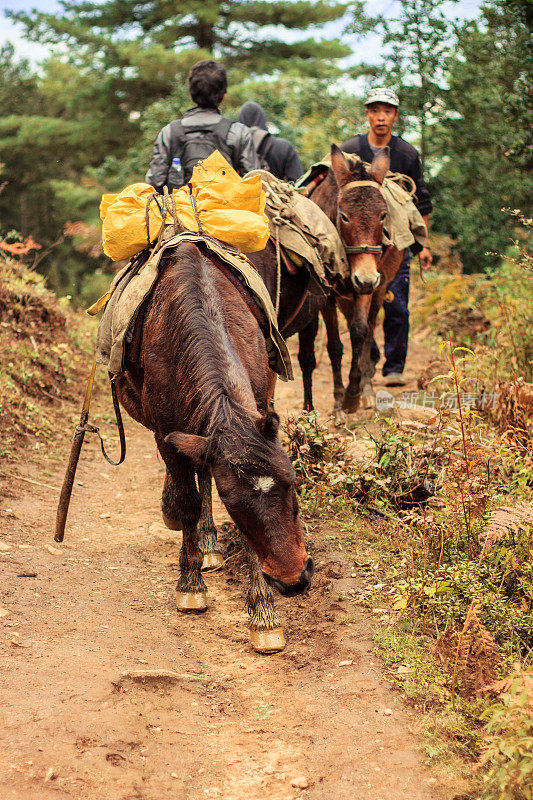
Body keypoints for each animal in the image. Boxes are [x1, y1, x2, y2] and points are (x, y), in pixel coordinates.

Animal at [115, 242, 312, 648]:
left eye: (293, 486)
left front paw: (264, 615)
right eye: (233, 505)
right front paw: (191, 585)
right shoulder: (167, 436)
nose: (293, 580)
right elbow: (189, 500)